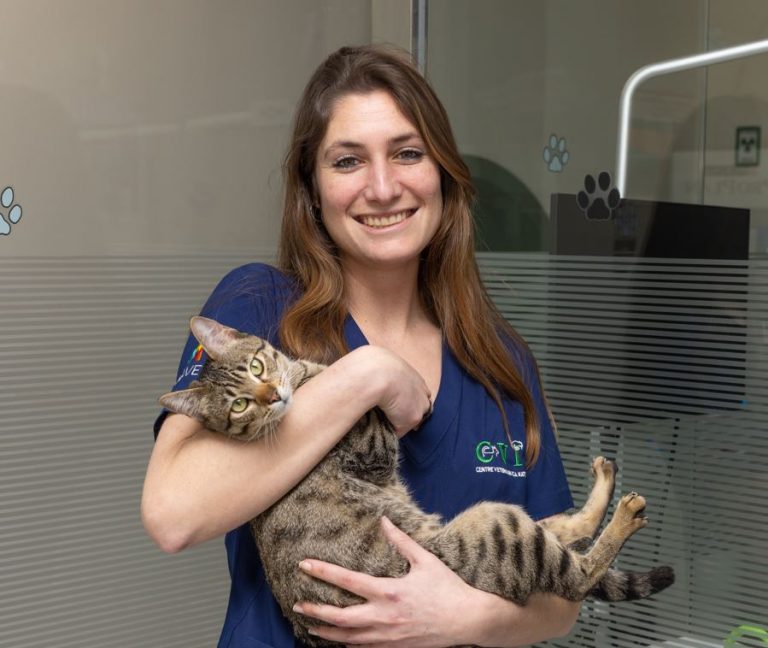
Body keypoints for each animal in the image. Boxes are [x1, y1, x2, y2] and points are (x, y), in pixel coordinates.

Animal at [160, 316, 674, 647]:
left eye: (257, 368)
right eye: (240, 405)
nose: (273, 396)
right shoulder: (374, 449)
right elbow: (361, 382)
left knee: (568, 532)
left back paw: (607, 483)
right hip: (496, 526)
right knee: (578, 574)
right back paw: (624, 514)